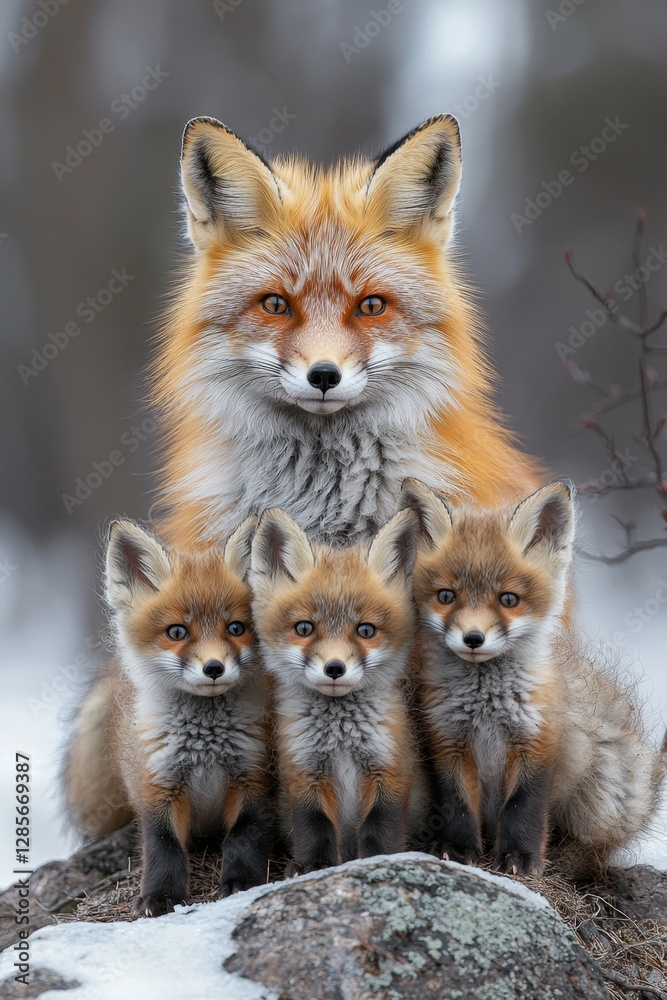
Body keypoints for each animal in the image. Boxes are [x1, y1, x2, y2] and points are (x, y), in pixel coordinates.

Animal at [62, 516, 272, 917]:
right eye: (177, 632)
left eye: (236, 628)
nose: (213, 668)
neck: (205, 745)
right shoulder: (156, 783)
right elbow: (163, 846)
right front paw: (159, 896)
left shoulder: (253, 777)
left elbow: (243, 835)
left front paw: (240, 882)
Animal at [249, 505, 423, 873]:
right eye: (304, 628)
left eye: (366, 630)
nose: (334, 668)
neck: (340, 739)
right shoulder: (303, 771)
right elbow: (314, 824)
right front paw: (314, 865)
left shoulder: (390, 767)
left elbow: (381, 825)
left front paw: (379, 860)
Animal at [401, 478, 666, 875]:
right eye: (446, 596)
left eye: (509, 599)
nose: (473, 638)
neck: (486, 706)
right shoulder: (448, 742)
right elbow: (457, 805)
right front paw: (458, 849)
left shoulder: (538, 742)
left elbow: (523, 808)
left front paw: (520, 858)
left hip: (602, 794)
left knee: (595, 853)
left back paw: (566, 859)